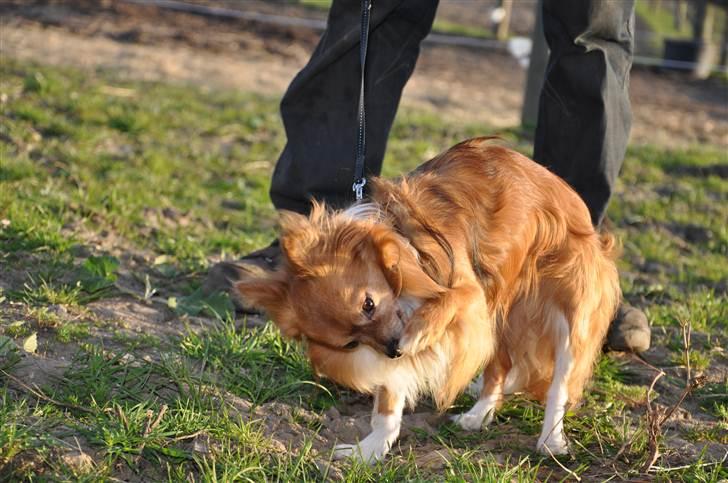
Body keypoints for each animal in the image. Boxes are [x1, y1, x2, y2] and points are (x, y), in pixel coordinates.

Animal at [235, 138, 620, 464]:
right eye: (350, 344)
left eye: (368, 304)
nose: (393, 350)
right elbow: (388, 400)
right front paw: (369, 451)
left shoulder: (469, 296)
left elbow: (445, 304)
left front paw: (421, 332)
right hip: (501, 319)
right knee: (499, 368)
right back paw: (478, 415)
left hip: (569, 313)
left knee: (560, 384)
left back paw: (551, 440)